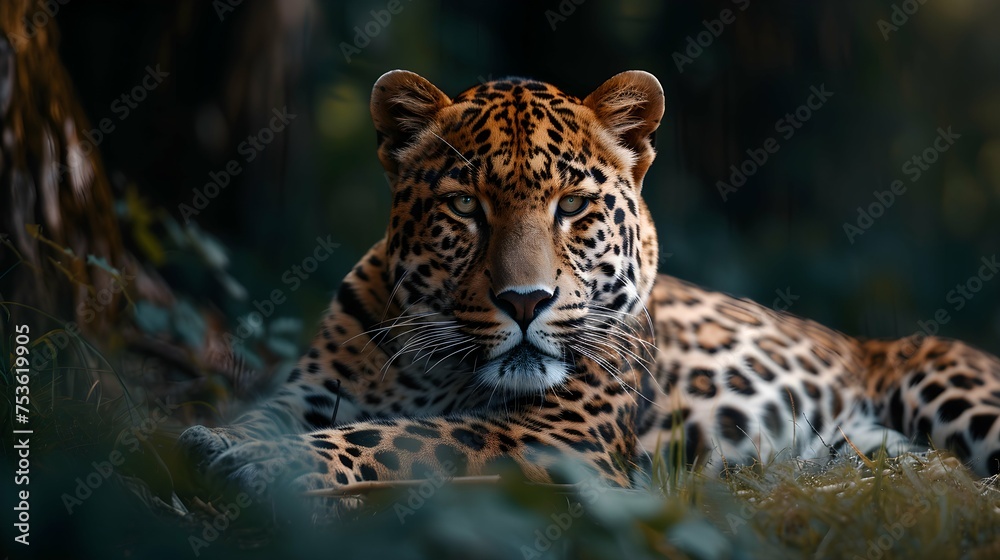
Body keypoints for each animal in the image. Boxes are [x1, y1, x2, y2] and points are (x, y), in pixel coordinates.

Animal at [177, 70, 1000, 505]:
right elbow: (267, 416)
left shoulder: (558, 436)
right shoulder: (306, 395)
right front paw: (219, 440)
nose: (524, 303)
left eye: (571, 207)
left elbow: (404, 437)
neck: (435, 369)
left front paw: (264, 466)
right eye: (466, 207)